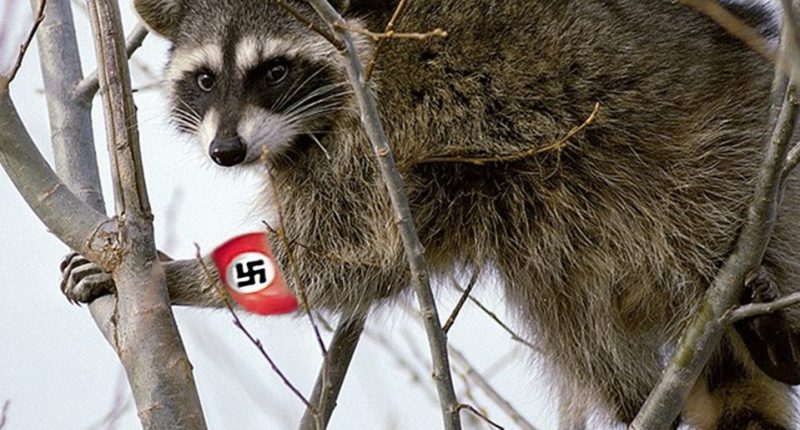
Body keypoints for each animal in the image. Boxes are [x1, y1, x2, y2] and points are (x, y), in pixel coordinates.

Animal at [61, 0, 800, 427]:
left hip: (723, 145)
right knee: (564, 303)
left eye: (274, 70)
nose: (225, 151)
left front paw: (177, 274)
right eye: (206, 78)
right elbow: (360, 264)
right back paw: (641, 399)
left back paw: (774, 333)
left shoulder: (375, 128)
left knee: (703, 209)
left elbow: (345, 255)